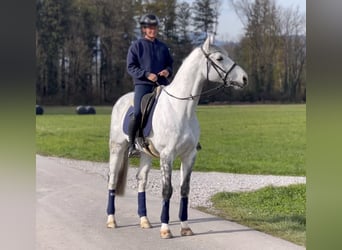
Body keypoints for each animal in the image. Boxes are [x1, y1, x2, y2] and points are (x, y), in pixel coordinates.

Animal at [105, 34, 247, 238]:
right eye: (219, 58)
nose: (244, 78)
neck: (181, 109)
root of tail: (121, 100)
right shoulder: (167, 156)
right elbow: (167, 191)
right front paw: (165, 229)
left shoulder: (189, 156)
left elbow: (184, 190)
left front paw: (185, 227)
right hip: (117, 148)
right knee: (112, 179)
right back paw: (111, 220)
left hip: (146, 155)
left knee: (141, 180)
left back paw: (144, 221)